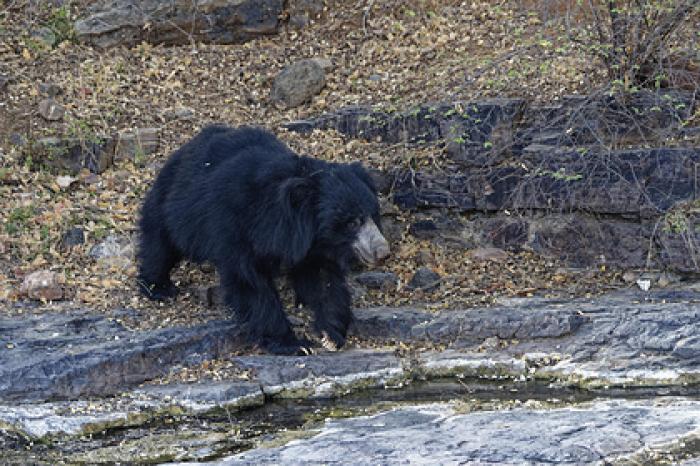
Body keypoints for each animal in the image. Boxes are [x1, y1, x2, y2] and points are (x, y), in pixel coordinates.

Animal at [137, 125, 388, 354]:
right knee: (159, 241)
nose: (382, 251)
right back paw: (158, 287)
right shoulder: (235, 226)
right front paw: (293, 344)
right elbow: (250, 282)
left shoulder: (311, 246)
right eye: (352, 222)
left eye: (372, 215)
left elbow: (323, 280)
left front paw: (330, 334)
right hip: (173, 203)